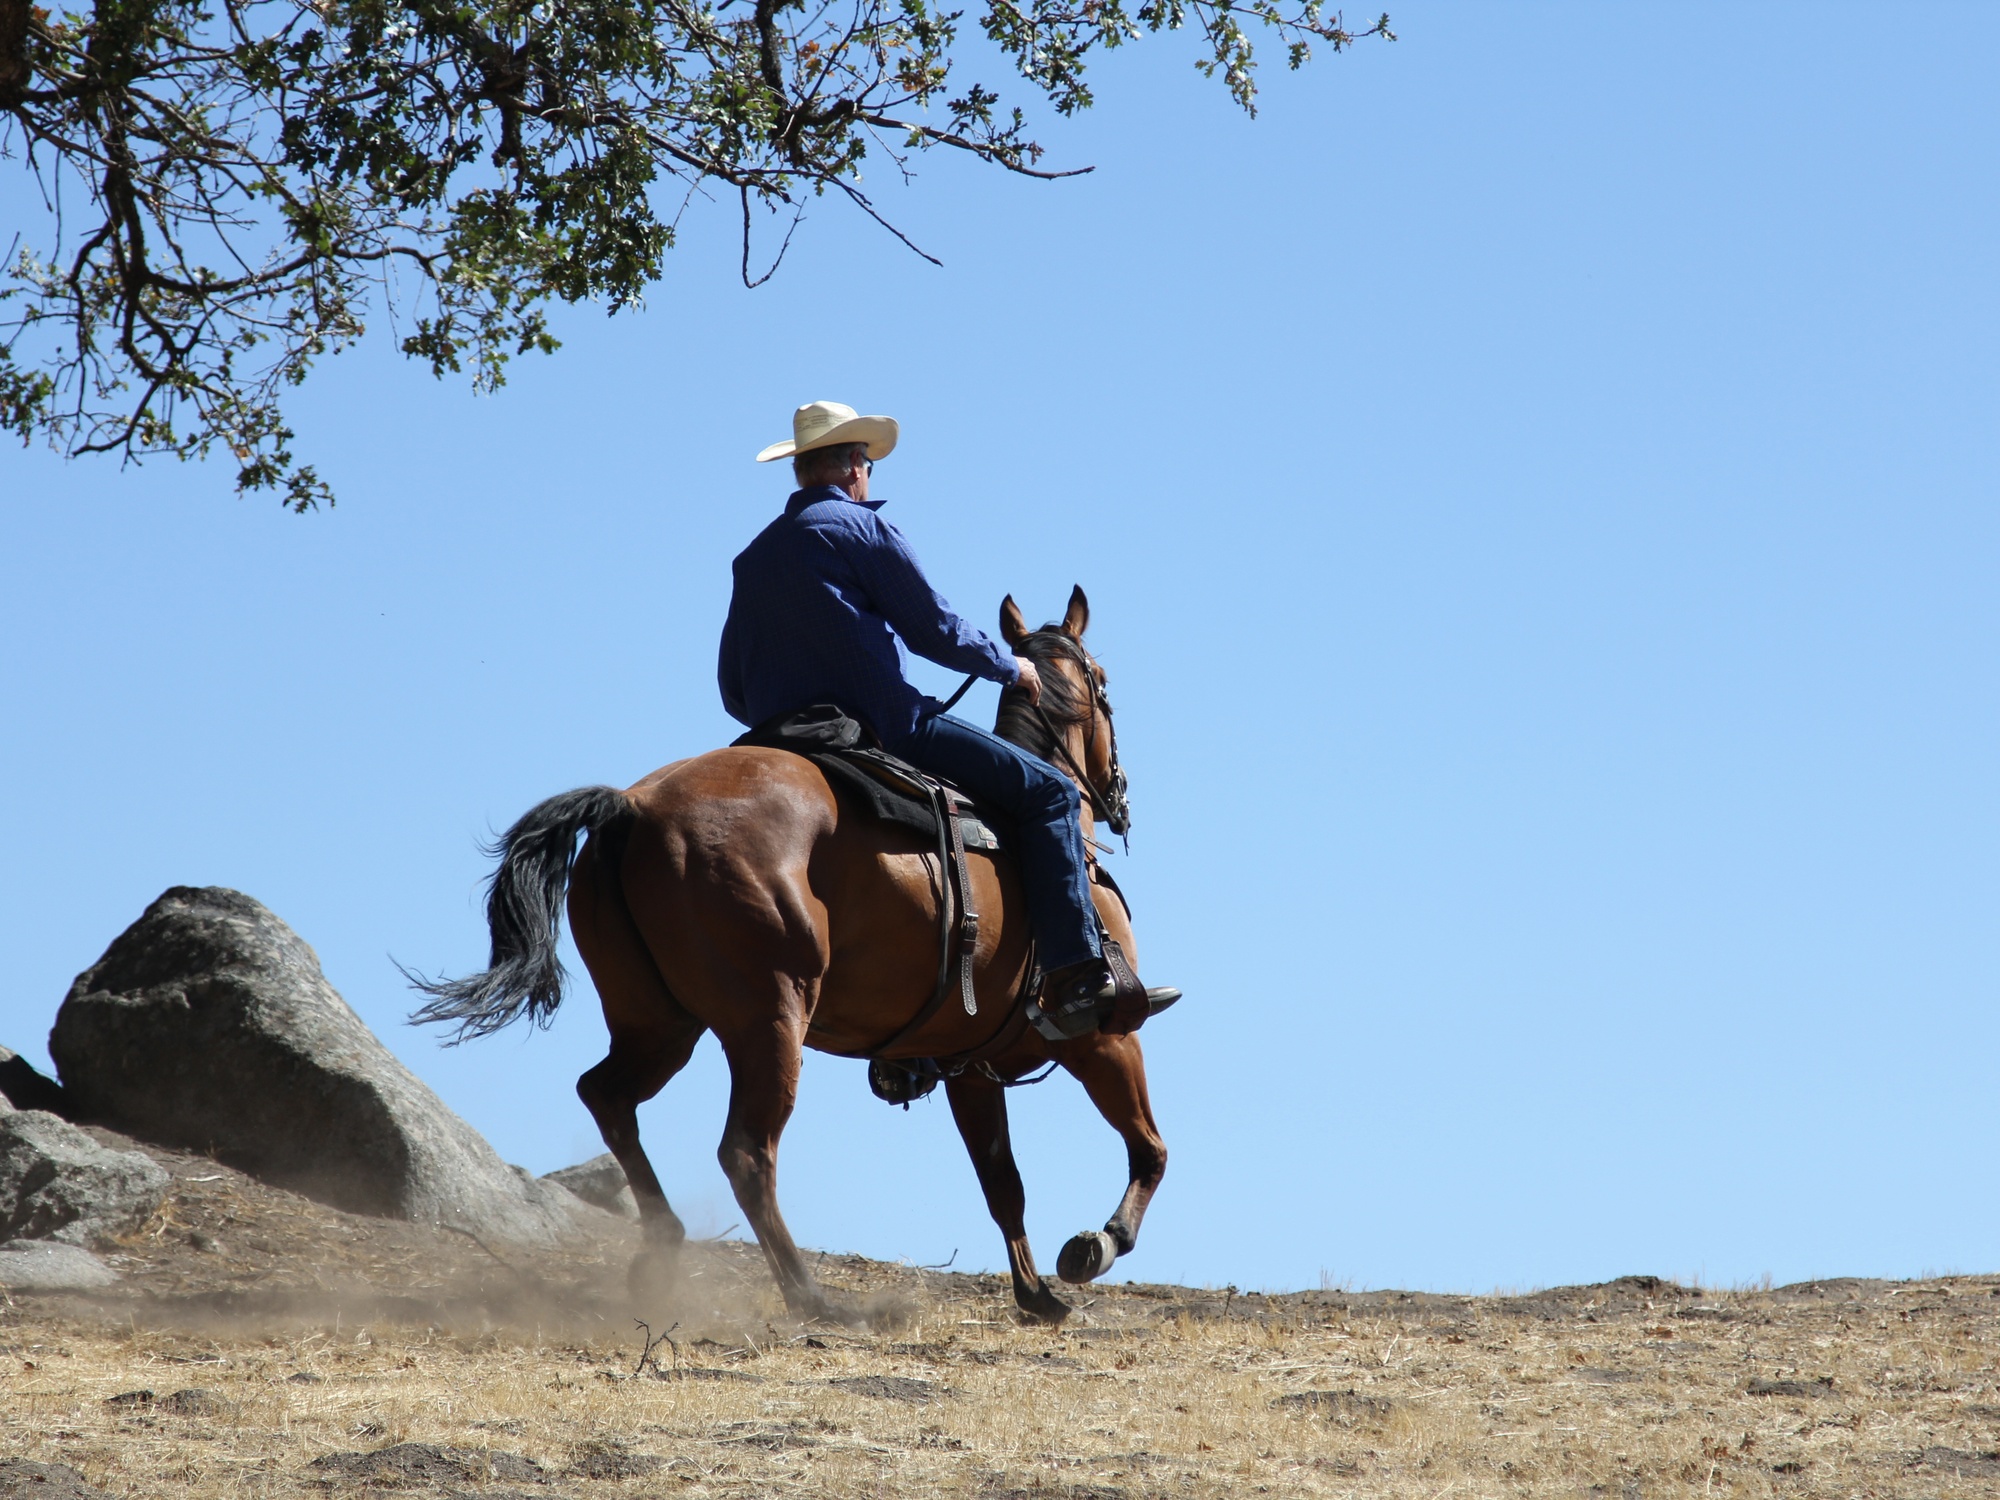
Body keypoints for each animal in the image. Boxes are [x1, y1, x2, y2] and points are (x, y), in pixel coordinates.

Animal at [412, 587, 1166, 1327]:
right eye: (1103, 682)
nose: (1121, 794)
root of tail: (633, 808)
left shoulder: (969, 1067)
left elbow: (1002, 1184)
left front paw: (1036, 1293)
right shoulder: (1104, 1038)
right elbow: (1150, 1150)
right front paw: (1097, 1245)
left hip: (659, 1025)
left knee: (608, 1096)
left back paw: (663, 1249)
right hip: (770, 1020)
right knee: (747, 1153)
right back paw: (810, 1296)